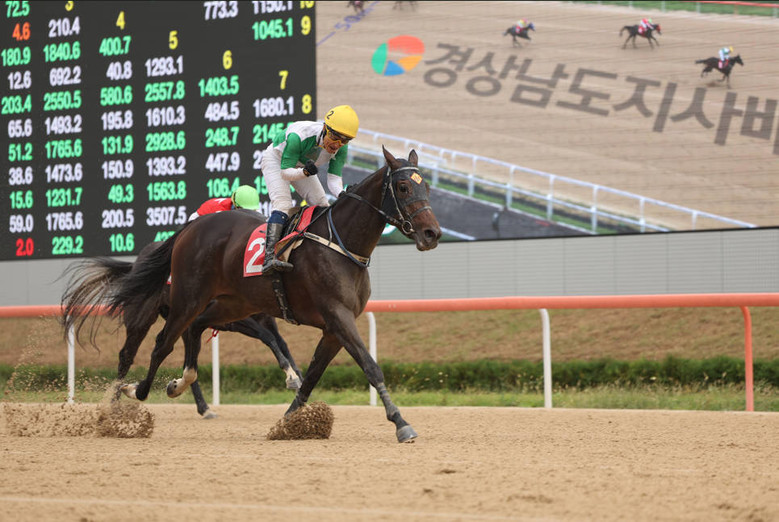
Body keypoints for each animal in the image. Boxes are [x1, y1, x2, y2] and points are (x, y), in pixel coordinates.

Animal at [60, 239, 303, 419]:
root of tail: (138, 262)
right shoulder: (231, 318)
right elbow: (267, 338)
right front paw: (291, 377)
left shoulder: (264, 317)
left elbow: (281, 343)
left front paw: (299, 382)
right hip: (142, 317)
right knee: (126, 356)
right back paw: (114, 404)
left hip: (181, 322)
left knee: (186, 357)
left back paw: (202, 407)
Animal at [112, 147, 441, 442]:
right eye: (403, 186)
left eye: (425, 186)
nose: (432, 234)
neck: (340, 244)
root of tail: (188, 229)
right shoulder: (338, 316)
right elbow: (370, 367)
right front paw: (401, 423)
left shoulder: (333, 328)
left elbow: (312, 376)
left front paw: (286, 423)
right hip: (185, 299)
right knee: (153, 346)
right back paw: (125, 399)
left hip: (232, 305)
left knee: (194, 328)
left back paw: (178, 387)